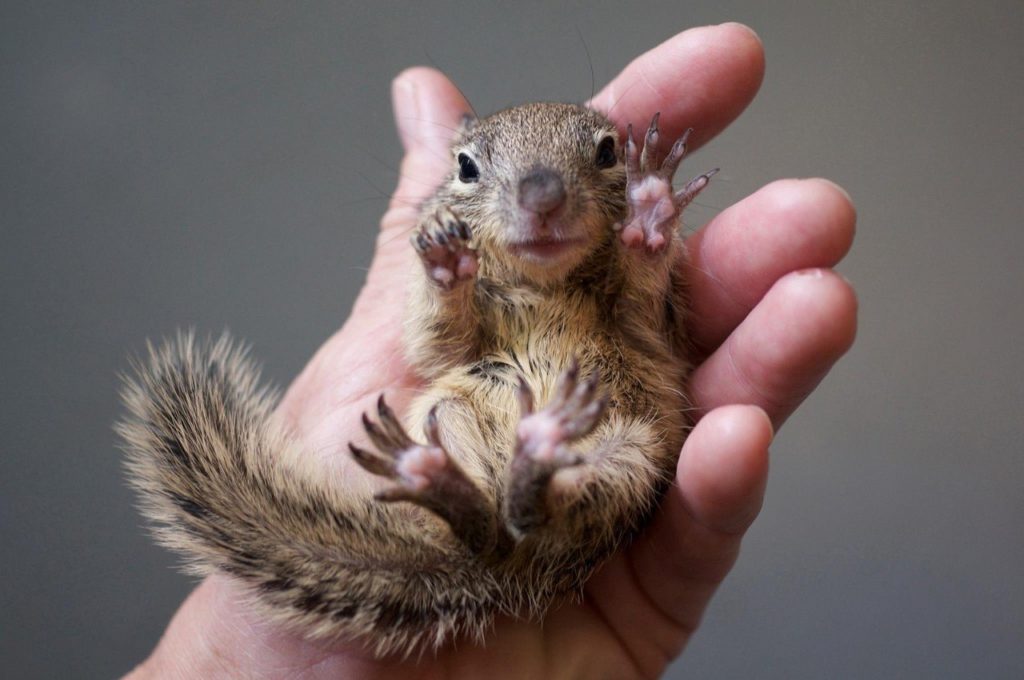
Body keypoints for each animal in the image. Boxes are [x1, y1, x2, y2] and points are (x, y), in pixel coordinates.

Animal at [118, 101, 717, 657]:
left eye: (609, 151)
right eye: (466, 166)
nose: (542, 197)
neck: (543, 283)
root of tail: (511, 574)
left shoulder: (653, 331)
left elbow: (641, 303)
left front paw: (649, 209)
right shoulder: (447, 346)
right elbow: (439, 340)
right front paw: (446, 262)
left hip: (631, 458)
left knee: (541, 506)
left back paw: (532, 451)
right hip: (446, 416)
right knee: (484, 528)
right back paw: (441, 478)